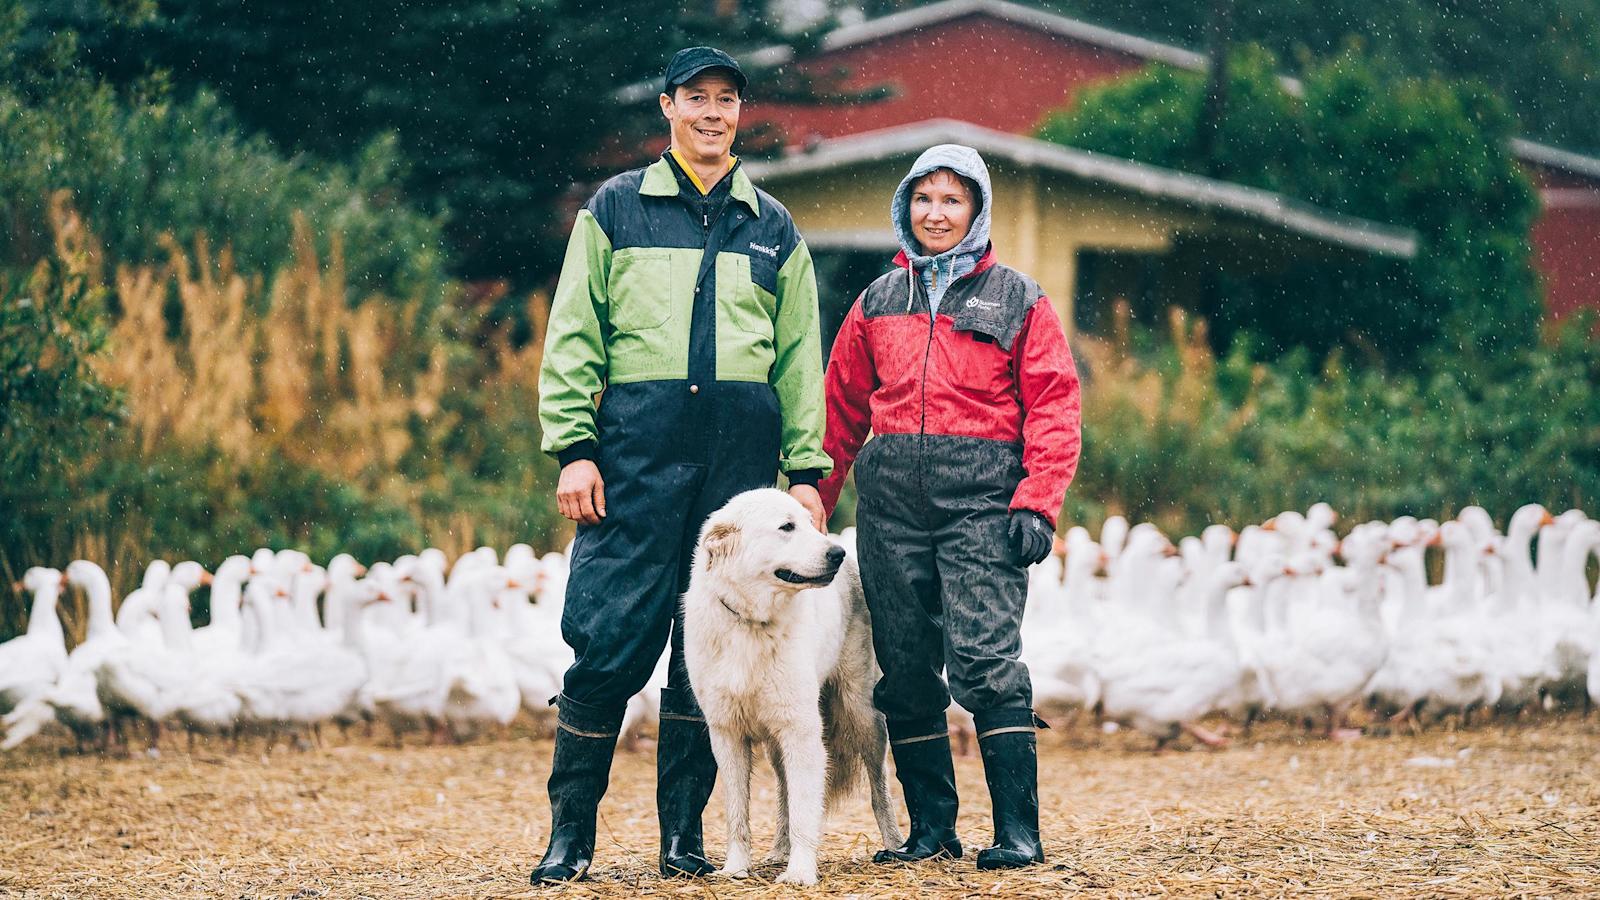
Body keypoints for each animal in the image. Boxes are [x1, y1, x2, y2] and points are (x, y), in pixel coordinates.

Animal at [684, 486, 908, 877]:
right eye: (786, 527)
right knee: (784, 792)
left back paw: (894, 846)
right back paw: (778, 850)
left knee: (879, 788)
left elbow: (806, 808)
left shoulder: (801, 730)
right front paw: (736, 869)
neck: (751, 624)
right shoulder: (727, 734)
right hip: (778, 743)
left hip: (862, 716)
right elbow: (737, 815)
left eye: (808, 523)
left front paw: (800, 873)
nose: (836, 554)